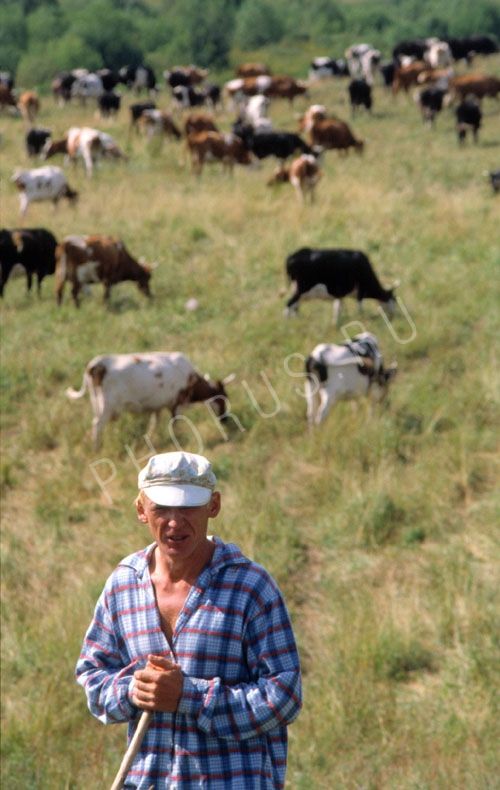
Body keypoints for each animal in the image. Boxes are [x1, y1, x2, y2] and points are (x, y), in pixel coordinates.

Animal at [66, 351, 231, 449]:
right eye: (223, 399)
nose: (226, 419)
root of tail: (98, 363)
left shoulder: (157, 406)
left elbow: (154, 423)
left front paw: (149, 439)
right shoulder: (178, 404)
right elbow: (174, 423)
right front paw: (176, 441)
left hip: (96, 404)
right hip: (107, 407)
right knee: (97, 426)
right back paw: (96, 449)